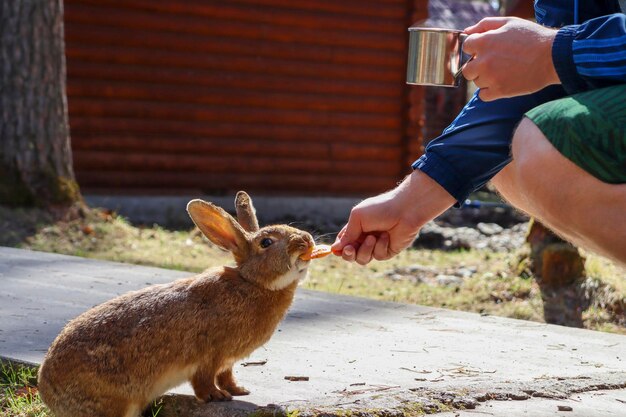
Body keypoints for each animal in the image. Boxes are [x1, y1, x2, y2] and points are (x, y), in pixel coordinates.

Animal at [36, 191, 314, 416]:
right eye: (266, 243)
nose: (307, 241)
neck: (254, 283)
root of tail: (48, 392)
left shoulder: (227, 361)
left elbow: (226, 376)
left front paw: (239, 390)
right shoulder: (209, 354)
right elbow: (204, 380)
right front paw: (216, 397)